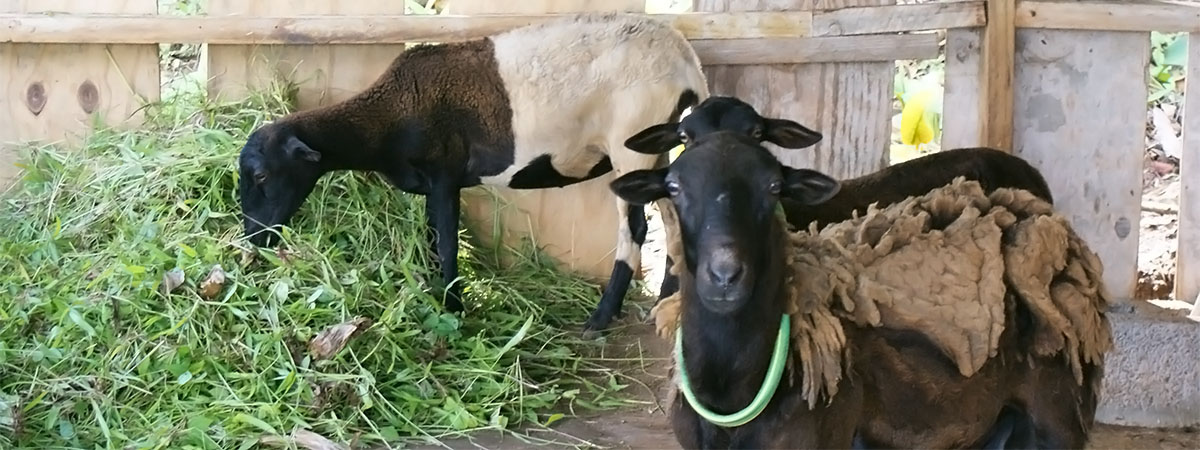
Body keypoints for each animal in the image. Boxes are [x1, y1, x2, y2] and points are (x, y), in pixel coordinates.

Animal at [236, 12, 709, 334]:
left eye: (261, 177)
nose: (254, 238)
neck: (389, 119)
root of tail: (686, 60)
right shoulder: (432, 184)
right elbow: (431, 240)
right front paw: (432, 296)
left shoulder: (445, 174)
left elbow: (446, 243)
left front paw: (454, 308)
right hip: (656, 149)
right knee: (673, 216)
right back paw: (670, 304)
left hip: (631, 139)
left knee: (635, 230)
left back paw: (601, 318)